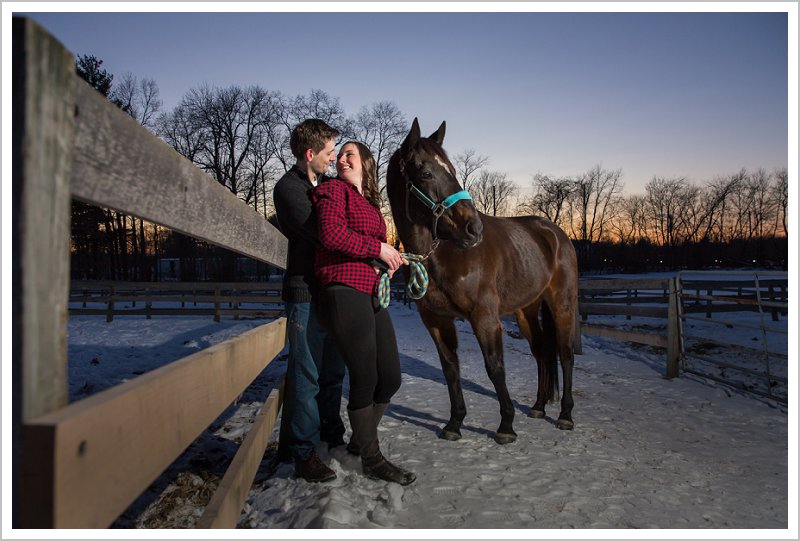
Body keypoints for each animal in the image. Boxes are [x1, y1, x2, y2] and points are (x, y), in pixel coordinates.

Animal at [386, 118, 580, 442]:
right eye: (426, 172)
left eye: (452, 170)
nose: (473, 228)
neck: (445, 253)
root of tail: (556, 234)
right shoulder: (436, 320)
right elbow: (450, 368)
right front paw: (454, 424)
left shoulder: (485, 317)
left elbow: (494, 367)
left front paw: (506, 427)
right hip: (526, 311)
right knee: (542, 352)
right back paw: (539, 407)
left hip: (562, 304)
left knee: (565, 355)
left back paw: (565, 415)